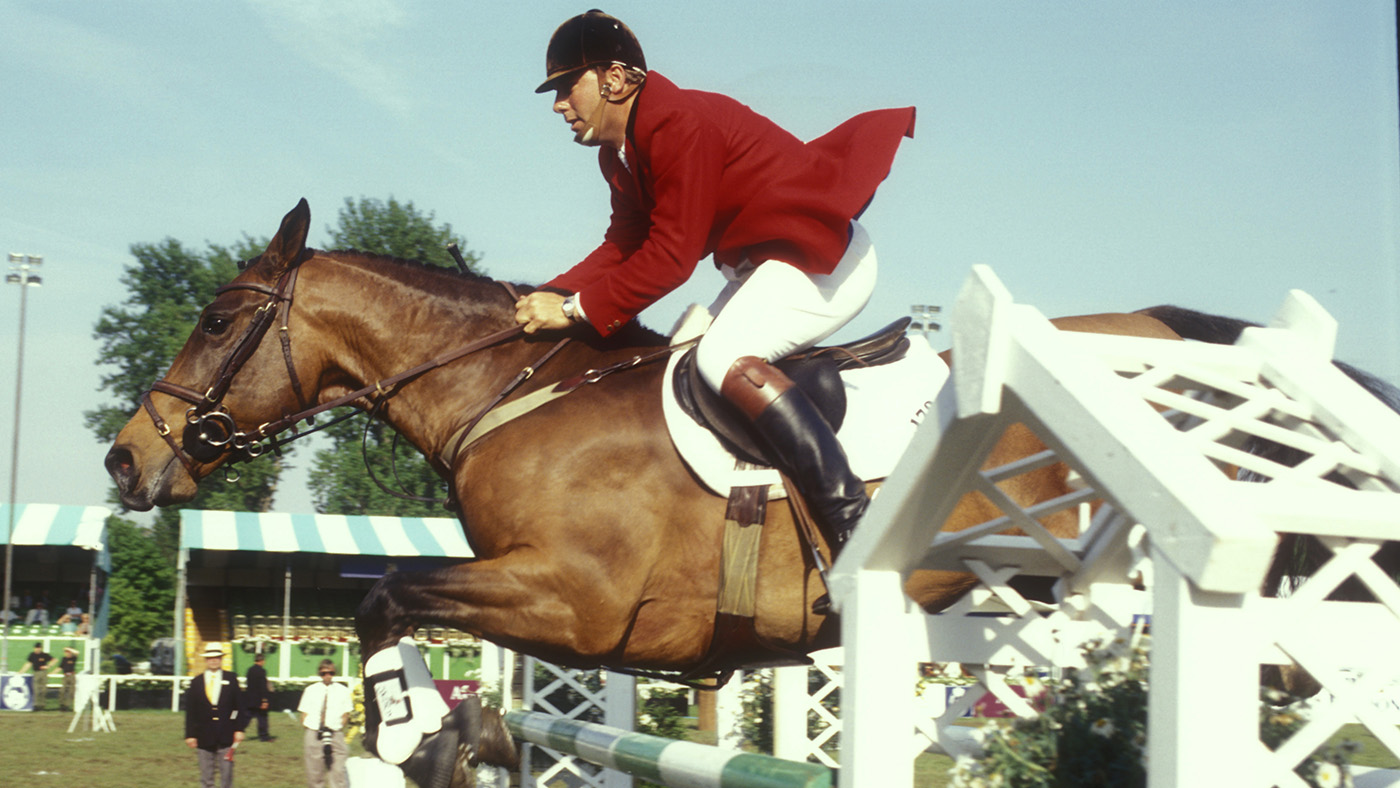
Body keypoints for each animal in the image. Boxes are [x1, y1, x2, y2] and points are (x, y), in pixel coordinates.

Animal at [103, 201, 1187, 778]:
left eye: (215, 320)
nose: (124, 460)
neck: (509, 393)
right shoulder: (553, 605)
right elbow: (406, 611)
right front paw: (466, 731)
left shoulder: (575, 599)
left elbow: (385, 597)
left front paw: (414, 733)